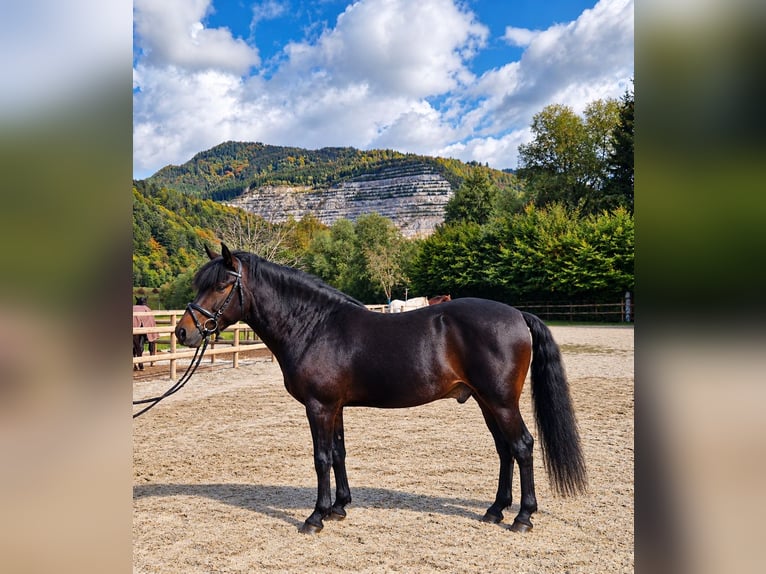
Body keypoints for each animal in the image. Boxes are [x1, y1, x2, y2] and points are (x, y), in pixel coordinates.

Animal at [175, 244, 587, 534]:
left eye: (221, 285)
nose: (182, 331)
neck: (314, 326)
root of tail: (517, 314)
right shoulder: (335, 407)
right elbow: (338, 453)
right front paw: (339, 507)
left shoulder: (319, 406)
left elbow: (321, 457)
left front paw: (315, 517)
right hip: (487, 403)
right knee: (505, 450)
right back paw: (495, 510)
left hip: (501, 403)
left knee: (522, 447)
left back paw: (523, 517)